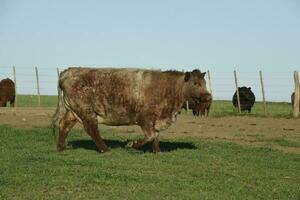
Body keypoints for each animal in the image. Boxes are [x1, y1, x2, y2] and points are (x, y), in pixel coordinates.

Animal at [52, 67, 211, 153]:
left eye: (204, 82)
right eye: (195, 83)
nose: (209, 97)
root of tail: (67, 72)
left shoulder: (157, 119)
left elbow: (156, 135)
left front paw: (157, 150)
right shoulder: (145, 118)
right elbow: (150, 135)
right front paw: (132, 144)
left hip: (73, 112)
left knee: (64, 125)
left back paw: (61, 146)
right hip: (87, 111)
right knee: (92, 129)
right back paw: (105, 149)